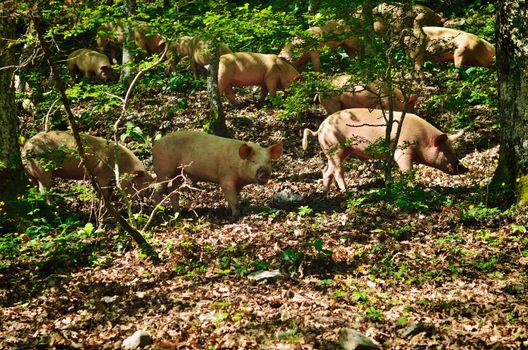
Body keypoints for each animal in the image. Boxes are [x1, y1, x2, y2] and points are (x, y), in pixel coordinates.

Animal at [23, 131, 155, 197]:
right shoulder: (101, 173)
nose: (135, 199)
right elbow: (104, 190)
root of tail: (26, 149)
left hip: (30, 173)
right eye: (135, 184)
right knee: (43, 188)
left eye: (146, 188)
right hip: (42, 168)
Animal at [153, 130, 282, 217]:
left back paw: (178, 213)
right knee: (158, 189)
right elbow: (232, 198)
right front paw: (235, 215)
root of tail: (156, 144)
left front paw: (228, 210)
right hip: (163, 169)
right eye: (253, 161)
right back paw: (159, 212)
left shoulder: (238, 184)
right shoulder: (225, 179)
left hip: (179, 173)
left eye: (269, 161)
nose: (264, 171)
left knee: (173, 190)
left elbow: (234, 197)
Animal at [304, 108, 468, 191]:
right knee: (338, 171)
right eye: (446, 150)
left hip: (337, 151)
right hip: (335, 147)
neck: (422, 139)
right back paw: (346, 191)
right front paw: (414, 187)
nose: (464, 168)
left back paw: (327, 191)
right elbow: (407, 170)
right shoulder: (402, 151)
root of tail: (320, 129)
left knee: (327, 170)